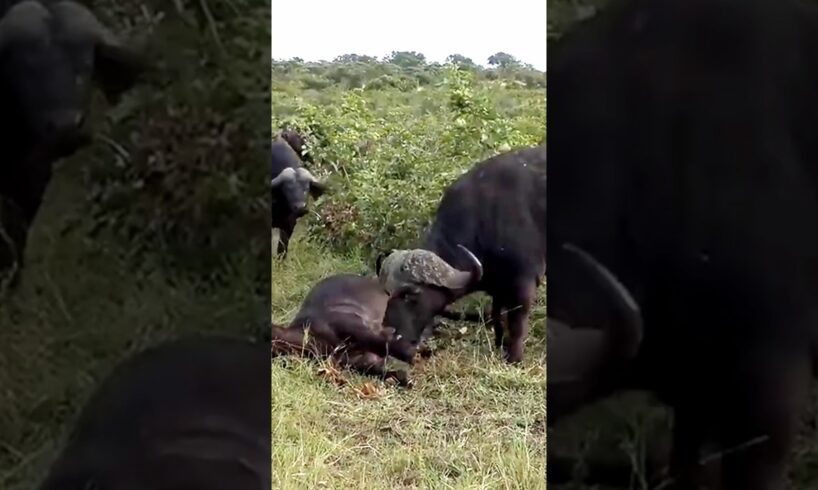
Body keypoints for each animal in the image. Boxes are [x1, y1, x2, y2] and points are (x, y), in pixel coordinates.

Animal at [270, 274, 418, 384]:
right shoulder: (357, 359)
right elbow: (374, 366)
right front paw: (399, 377)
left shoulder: (354, 326)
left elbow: (380, 341)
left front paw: (408, 353)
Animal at [380, 145, 544, 364]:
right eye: (388, 292)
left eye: (411, 295)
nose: (388, 332)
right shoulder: (498, 288)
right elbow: (497, 316)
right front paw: (499, 344)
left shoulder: (524, 283)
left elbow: (517, 324)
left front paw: (514, 358)